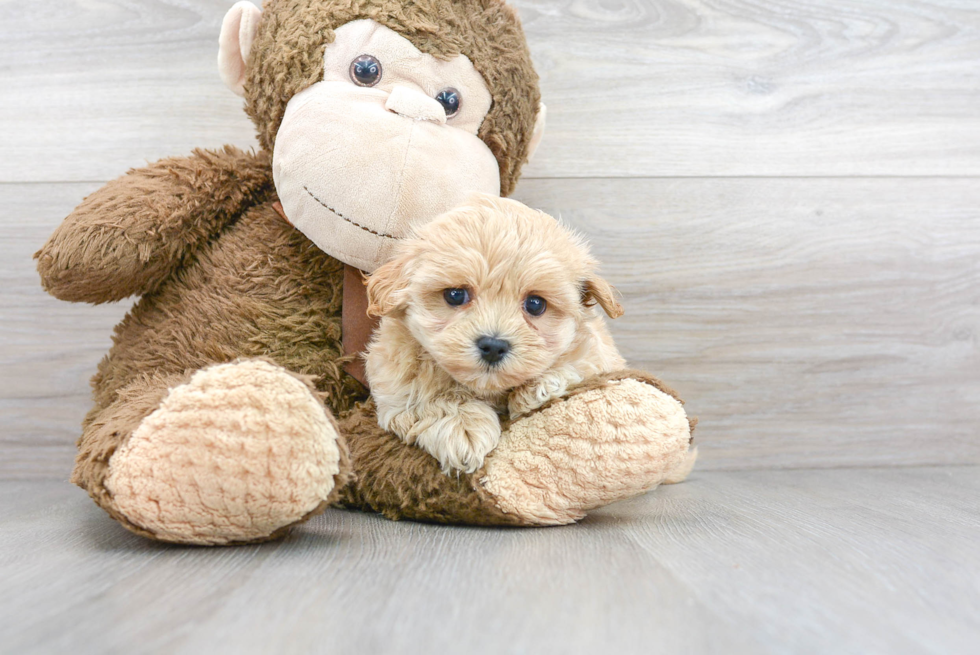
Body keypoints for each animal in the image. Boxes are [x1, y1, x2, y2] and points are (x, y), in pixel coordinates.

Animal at [364, 192, 624, 474]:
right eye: (455, 295)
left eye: (536, 304)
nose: (493, 346)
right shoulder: (395, 387)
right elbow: (426, 399)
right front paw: (463, 426)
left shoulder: (600, 354)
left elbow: (579, 363)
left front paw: (540, 387)